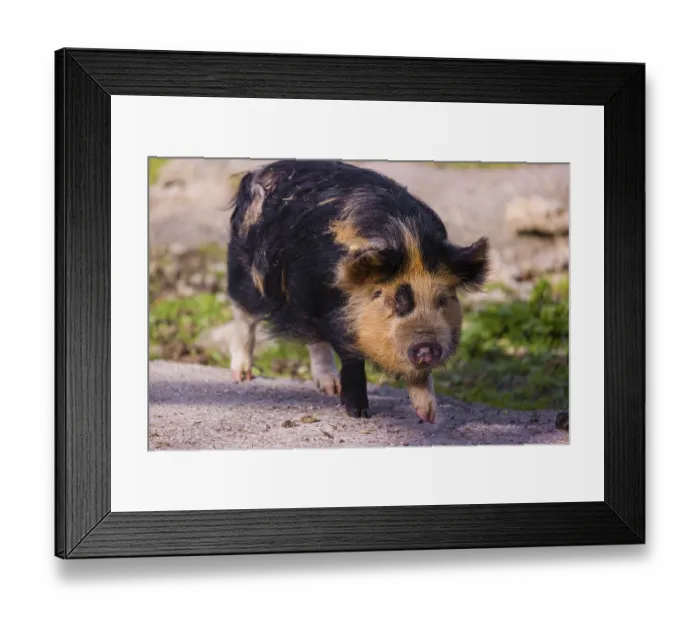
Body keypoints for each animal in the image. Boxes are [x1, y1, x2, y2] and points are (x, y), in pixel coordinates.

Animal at [226, 160, 489, 423]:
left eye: (443, 299)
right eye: (391, 298)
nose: (426, 346)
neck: (408, 240)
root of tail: (262, 170)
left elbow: (419, 375)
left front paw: (430, 416)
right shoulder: (337, 314)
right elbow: (352, 360)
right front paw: (359, 414)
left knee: (314, 339)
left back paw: (330, 388)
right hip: (248, 274)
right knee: (243, 314)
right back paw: (242, 376)